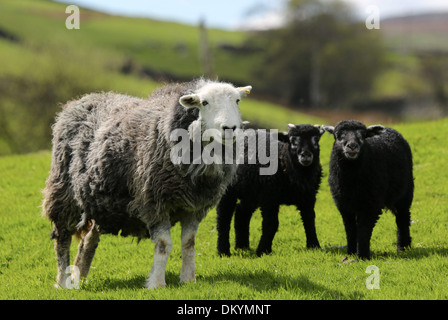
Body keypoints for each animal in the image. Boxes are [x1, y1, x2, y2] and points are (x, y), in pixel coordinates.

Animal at [42, 79, 252, 288]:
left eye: (238, 101)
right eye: (205, 102)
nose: (230, 128)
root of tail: (82, 99)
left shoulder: (195, 207)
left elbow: (189, 243)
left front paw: (188, 280)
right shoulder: (154, 201)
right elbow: (164, 245)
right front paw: (157, 283)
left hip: (101, 202)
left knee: (88, 239)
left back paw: (79, 276)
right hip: (63, 192)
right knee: (62, 238)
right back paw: (63, 282)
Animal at [216, 124, 322, 256]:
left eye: (316, 140)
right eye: (292, 141)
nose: (306, 155)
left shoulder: (309, 197)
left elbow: (309, 220)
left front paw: (314, 246)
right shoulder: (269, 198)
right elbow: (271, 224)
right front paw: (263, 250)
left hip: (251, 193)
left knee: (241, 212)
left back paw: (242, 246)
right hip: (228, 190)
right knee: (223, 217)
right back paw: (223, 251)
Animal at [324, 120, 414, 260]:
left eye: (363, 135)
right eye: (338, 136)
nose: (352, 146)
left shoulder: (371, 204)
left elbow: (364, 230)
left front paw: (362, 256)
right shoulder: (343, 205)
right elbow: (350, 229)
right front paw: (351, 252)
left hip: (405, 193)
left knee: (402, 217)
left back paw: (403, 247)